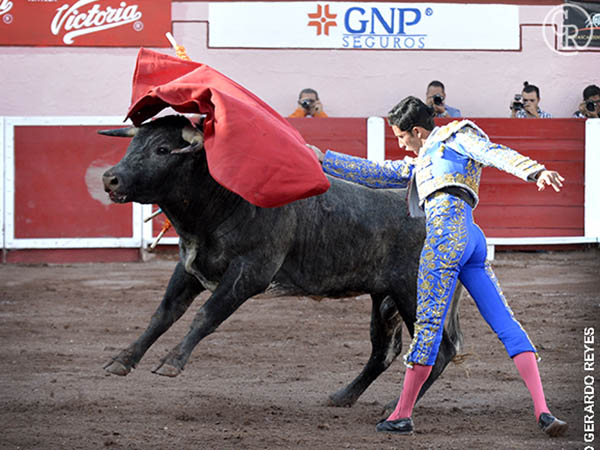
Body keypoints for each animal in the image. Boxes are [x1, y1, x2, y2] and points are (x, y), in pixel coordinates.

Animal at [99, 114, 463, 408]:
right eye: (133, 144)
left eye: (162, 150)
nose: (110, 178)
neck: (225, 200)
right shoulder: (190, 269)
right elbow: (163, 314)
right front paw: (122, 359)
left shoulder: (250, 273)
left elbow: (206, 316)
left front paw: (172, 362)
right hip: (384, 298)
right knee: (383, 351)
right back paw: (342, 396)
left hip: (415, 292)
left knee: (438, 350)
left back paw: (393, 407)